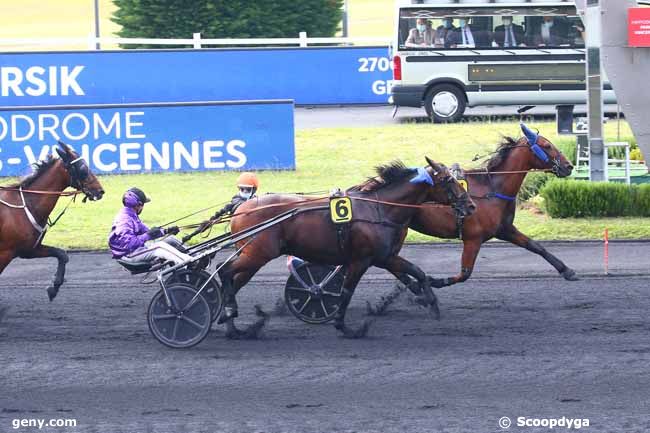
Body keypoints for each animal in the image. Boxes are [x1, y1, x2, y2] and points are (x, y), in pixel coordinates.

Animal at [0, 142, 104, 300]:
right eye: (82, 168)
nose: (100, 191)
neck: (28, 204)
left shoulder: (29, 249)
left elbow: (62, 254)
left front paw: (53, 287)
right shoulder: (5, 253)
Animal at [400, 123, 572, 288]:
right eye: (547, 146)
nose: (569, 166)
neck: (492, 188)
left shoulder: (504, 229)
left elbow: (535, 246)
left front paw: (567, 270)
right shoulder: (473, 238)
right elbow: (465, 273)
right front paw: (433, 281)